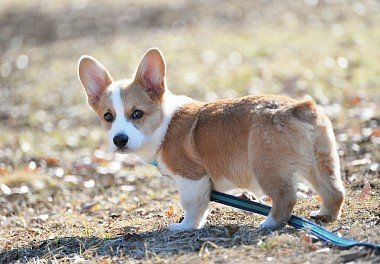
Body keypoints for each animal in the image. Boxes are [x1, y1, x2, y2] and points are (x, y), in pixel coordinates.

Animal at [77, 48, 344, 231]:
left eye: (137, 114)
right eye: (108, 117)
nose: (119, 140)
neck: (164, 124)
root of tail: (296, 108)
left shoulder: (191, 178)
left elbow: (193, 207)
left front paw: (185, 227)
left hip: (266, 167)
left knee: (285, 197)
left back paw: (269, 223)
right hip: (320, 163)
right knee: (334, 191)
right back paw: (324, 215)